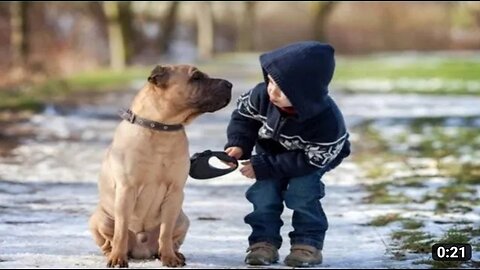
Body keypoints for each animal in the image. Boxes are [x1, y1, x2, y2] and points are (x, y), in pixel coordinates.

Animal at [89, 64, 233, 266]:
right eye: (196, 77)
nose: (229, 84)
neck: (161, 128)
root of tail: (142, 249)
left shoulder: (175, 192)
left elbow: (165, 231)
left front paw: (169, 258)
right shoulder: (126, 189)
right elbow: (121, 231)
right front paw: (117, 257)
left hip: (182, 219)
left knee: (171, 238)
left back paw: (174, 254)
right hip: (101, 219)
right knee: (110, 239)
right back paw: (114, 253)